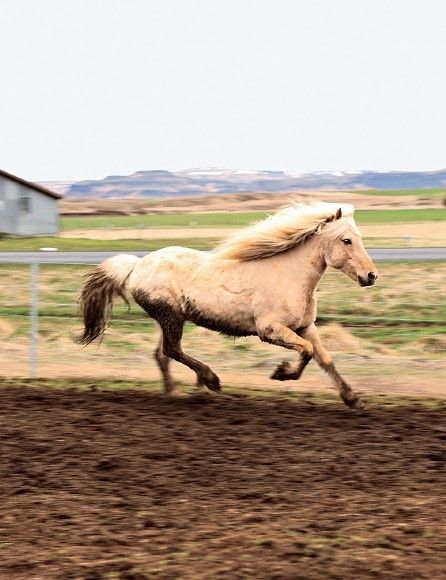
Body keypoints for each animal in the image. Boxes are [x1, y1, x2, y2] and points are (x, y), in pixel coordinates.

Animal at [77, 202, 376, 410]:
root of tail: (137, 264)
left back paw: (176, 393)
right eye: (346, 240)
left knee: (162, 354)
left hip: (170, 319)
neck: (290, 276)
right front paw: (281, 373)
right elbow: (307, 351)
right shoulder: (270, 330)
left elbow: (324, 358)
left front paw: (353, 399)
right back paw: (210, 380)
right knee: (172, 350)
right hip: (170, 317)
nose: (371, 276)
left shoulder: (305, 327)